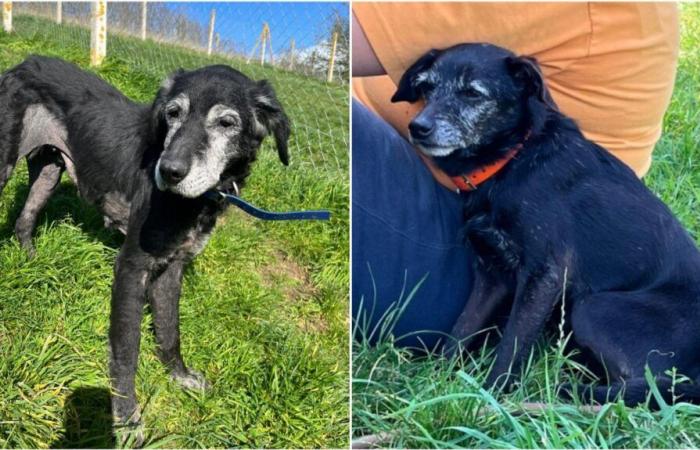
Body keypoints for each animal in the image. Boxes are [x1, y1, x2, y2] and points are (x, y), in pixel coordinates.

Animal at [0, 56, 290, 440]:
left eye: (226, 123)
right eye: (173, 113)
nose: (168, 171)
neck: (195, 202)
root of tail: (23, 63)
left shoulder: (173, 267)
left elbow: (170, 331)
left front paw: (179, 376)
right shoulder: (131, 267)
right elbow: (126, 351)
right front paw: (125, 419)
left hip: (49, 171)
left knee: (24, 220)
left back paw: (32, 263)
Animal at [392, 44, 700, 406]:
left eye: (472, 93)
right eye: (427, 87)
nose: (418, 127)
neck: (511, 159)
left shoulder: (544, 275)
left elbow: (511, 346)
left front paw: (490, 397)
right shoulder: (492, 275)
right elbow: (462, 328)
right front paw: (435, 383)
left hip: (595, 307)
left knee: (643, 385)